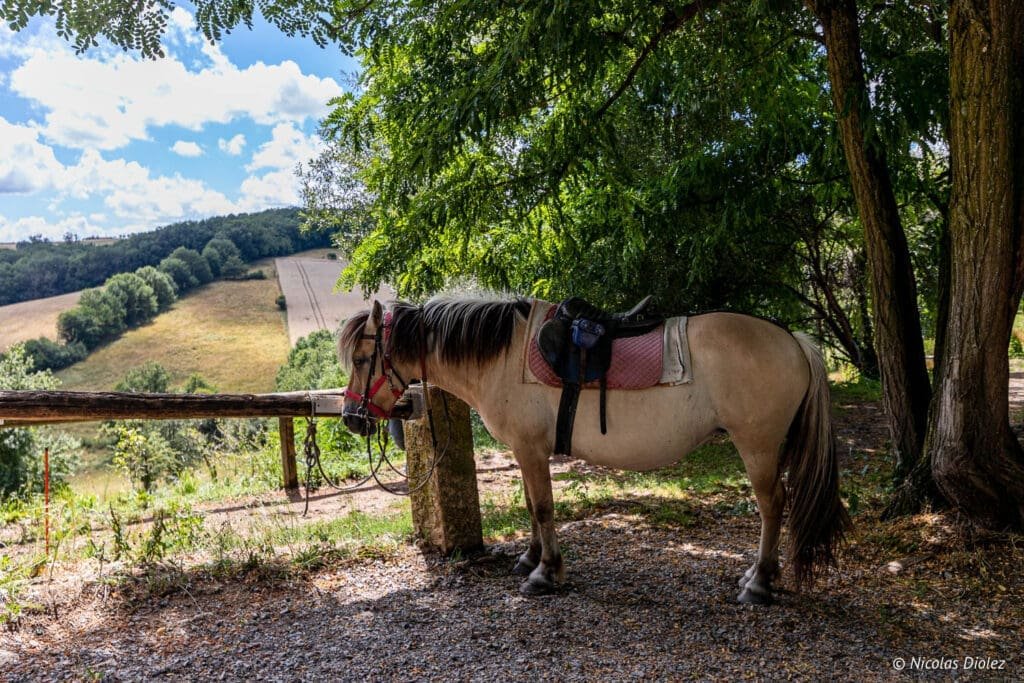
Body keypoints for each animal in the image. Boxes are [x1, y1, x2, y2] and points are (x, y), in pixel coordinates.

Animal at [338, 295, 850, 604]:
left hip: (757, 445)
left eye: (363, 358)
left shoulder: (530, 449)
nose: (350, 419)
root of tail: (794, 341)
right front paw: (530, 558)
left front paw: (546, 573)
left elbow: (544, 508)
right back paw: (757, 575)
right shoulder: (527, 451)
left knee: (771, 505)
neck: (502, 357)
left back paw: (759, 582)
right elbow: (532, 505)